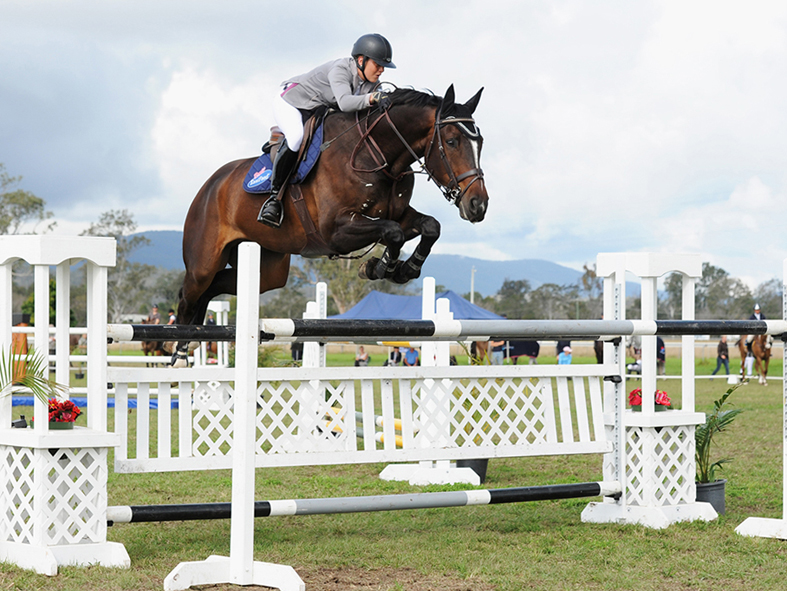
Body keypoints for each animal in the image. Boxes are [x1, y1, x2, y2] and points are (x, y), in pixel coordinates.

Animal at [175, 85, 490, 364]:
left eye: (481, 143)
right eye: (452, 141)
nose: (478, 205)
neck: (378, 154)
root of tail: (210, 185)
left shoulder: (397, 214)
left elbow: (428, 227)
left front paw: (401, 269)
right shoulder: (336, 232)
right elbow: (393, 232)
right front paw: (380, 268)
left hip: (268, 269)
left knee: (213, 288)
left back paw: (192, 340)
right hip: (204, 260)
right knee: (190, 294)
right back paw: (178, 351)